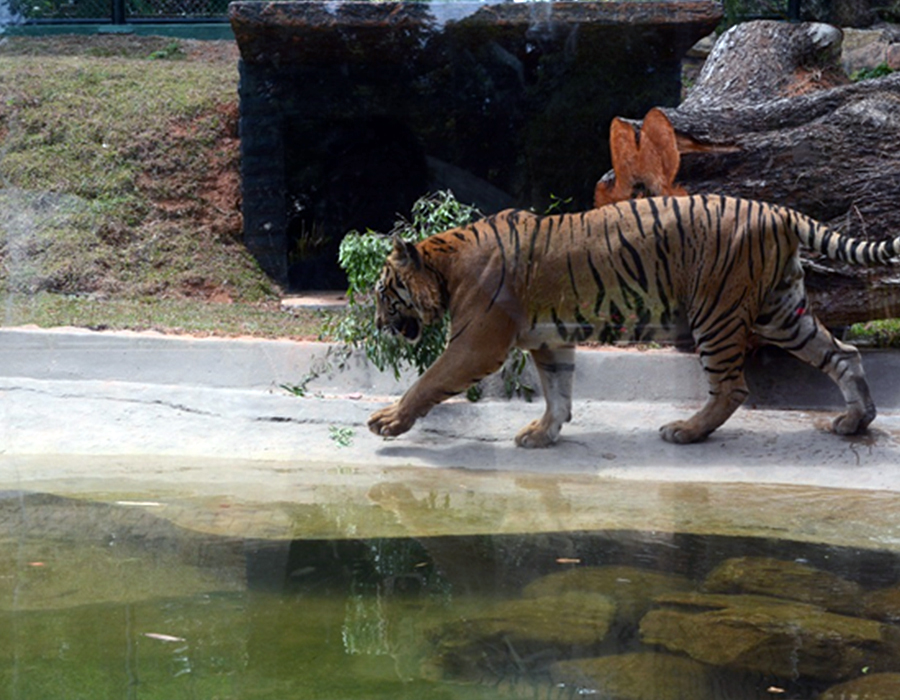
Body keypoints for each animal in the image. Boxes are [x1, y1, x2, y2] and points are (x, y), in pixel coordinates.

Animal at [368, 196, 900, 448]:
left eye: (383, 292)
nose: (375, 324)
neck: (445, 264)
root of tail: (778, 210)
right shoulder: (549, 341)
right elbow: (558, 392)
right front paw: (543, 434)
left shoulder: (475, 343)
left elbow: (428, 380)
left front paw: (387, 421)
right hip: (782, 312)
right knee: (843, 354)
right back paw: (855, 420)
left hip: (716, 312)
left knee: (732, 388)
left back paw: (686, 430)